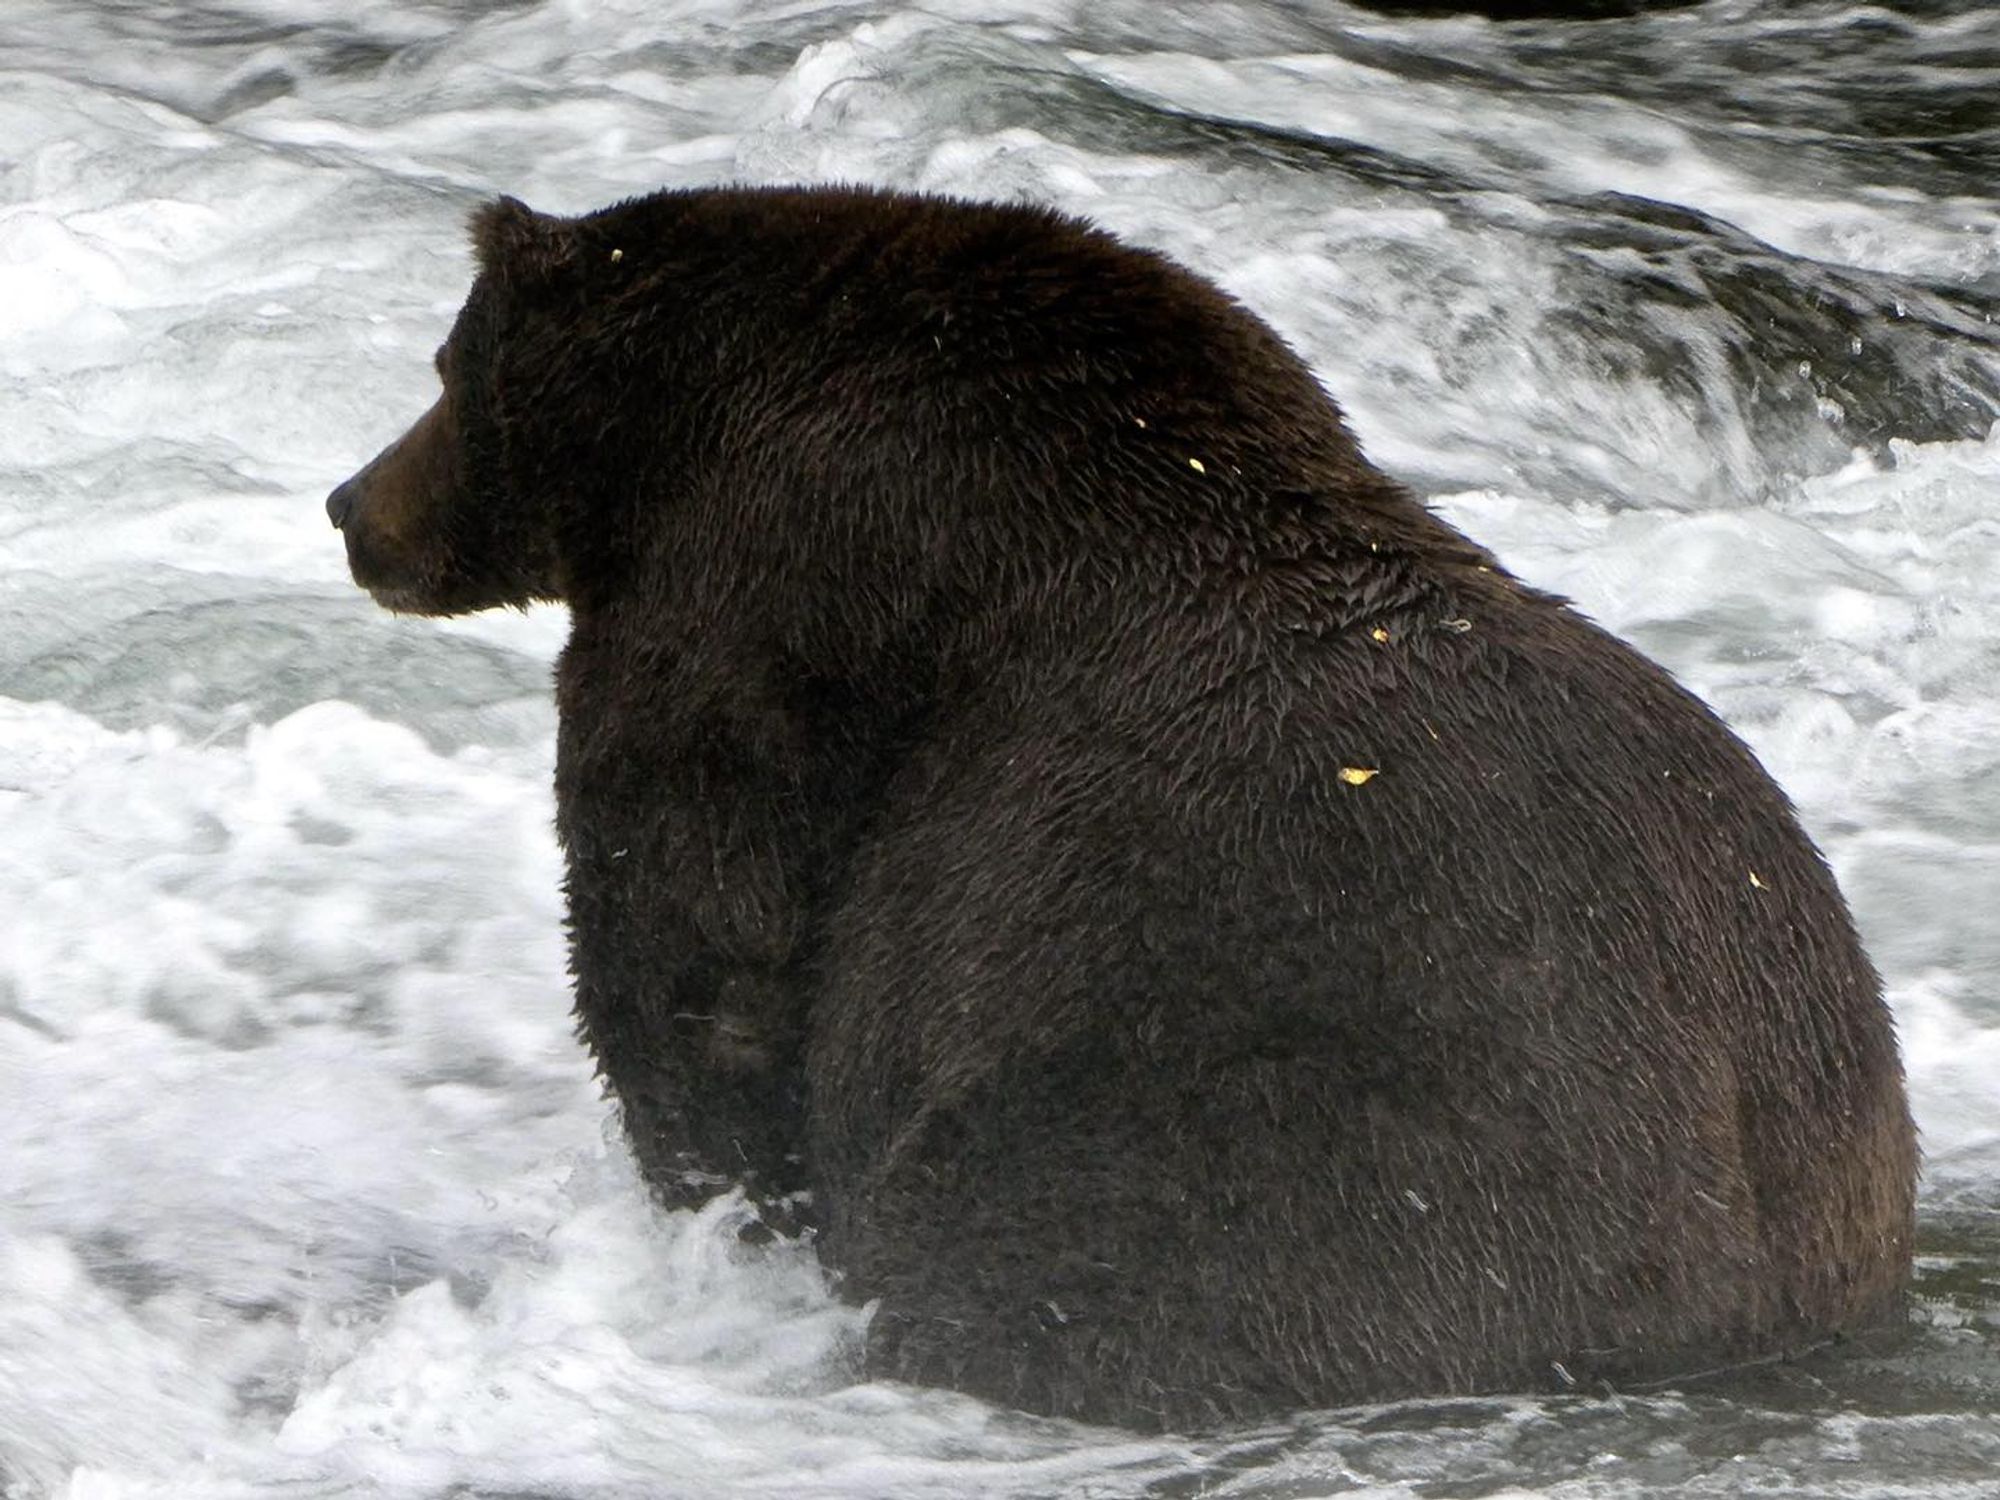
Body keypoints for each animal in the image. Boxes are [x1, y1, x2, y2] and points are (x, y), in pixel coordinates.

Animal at [328, 188, 1920, 1432]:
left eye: (443, 363)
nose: (350, 505)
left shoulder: (752, 615)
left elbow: (697, 942)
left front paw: (720, 1210)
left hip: (1266, 1135)